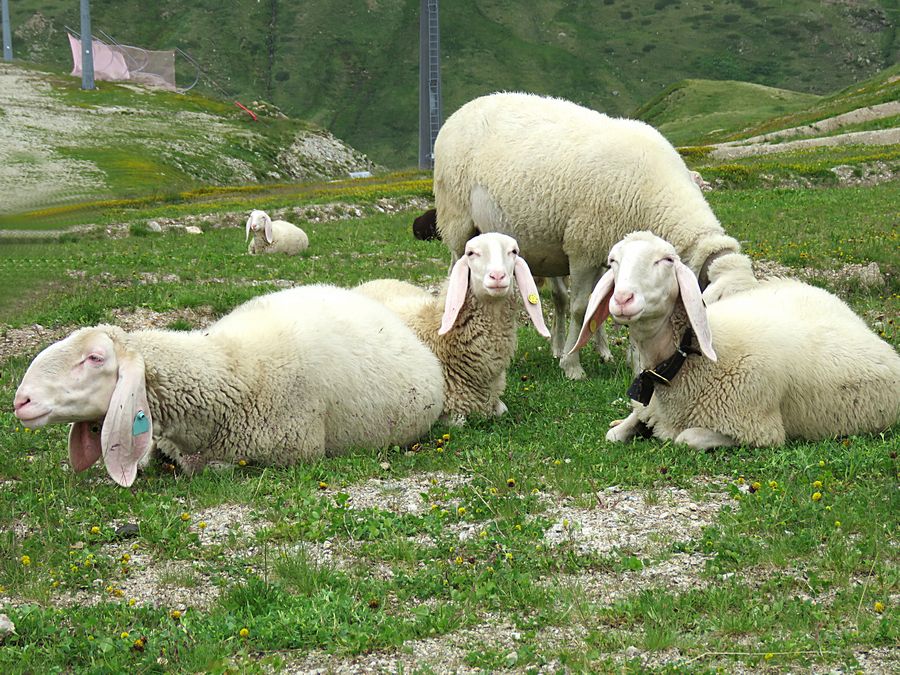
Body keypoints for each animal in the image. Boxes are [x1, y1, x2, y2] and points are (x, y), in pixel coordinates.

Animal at [355, 232, 550, 424]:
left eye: (514, 251)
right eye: (471, 253)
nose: (497, 276)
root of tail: (373, 280)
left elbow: (503, 409)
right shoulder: (447, 411)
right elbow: (459, 421)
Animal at [433, 91, 749, 380]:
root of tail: (463, 108)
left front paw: (633, 362)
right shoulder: (583, 247)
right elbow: (581, 308)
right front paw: (572, 366)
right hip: (458, 223)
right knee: (455, 277)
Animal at [570, 231, 900, 449]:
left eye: (666, 260)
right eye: (613, 261)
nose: (623, 299)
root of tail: (849, 312)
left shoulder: (758, 430)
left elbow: (685, 438)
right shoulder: (648, 408)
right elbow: (614, 434)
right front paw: (620, 425)